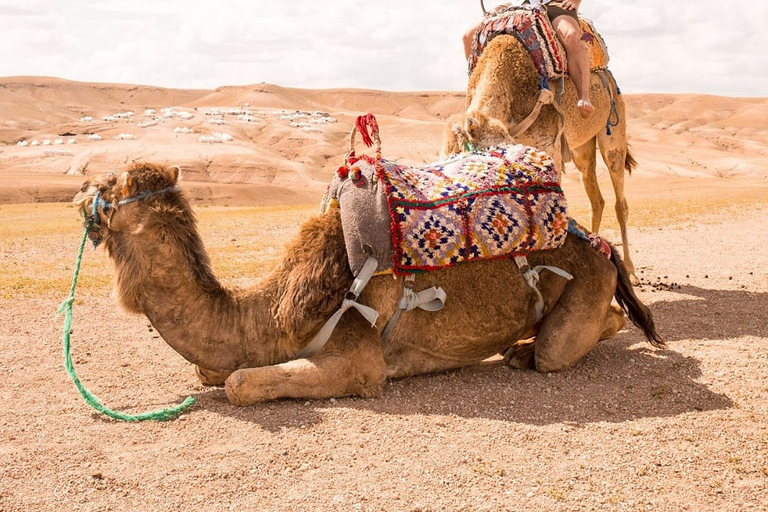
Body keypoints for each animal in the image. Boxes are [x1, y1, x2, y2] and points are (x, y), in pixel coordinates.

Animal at [70, 162, 660, 406]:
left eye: (108, 184)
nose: (77, 189)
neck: (270, 313)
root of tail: (595, 243)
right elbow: (210, 369)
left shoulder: (358, 359)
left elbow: (238, 383)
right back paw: (519, 347)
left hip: (584, 288)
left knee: (562, 347)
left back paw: (526, 351)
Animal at [440, 29, 640, 284]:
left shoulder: (549, 145)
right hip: (582, 148)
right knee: (596, 197)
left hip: (614, 128)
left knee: (619, 198)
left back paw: (631, 271)